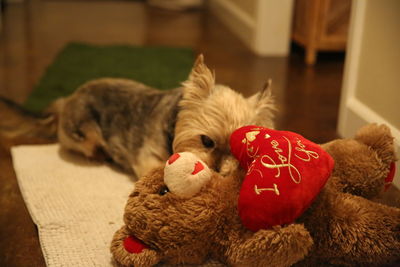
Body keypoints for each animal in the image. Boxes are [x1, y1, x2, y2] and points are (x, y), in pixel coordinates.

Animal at [0, 55, 276, 179]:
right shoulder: (148, 158)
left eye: (239, 150)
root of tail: (65, 100)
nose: (219, 173)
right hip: (84, 133)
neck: (173, 127)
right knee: (89, 146)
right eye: (206, 141)